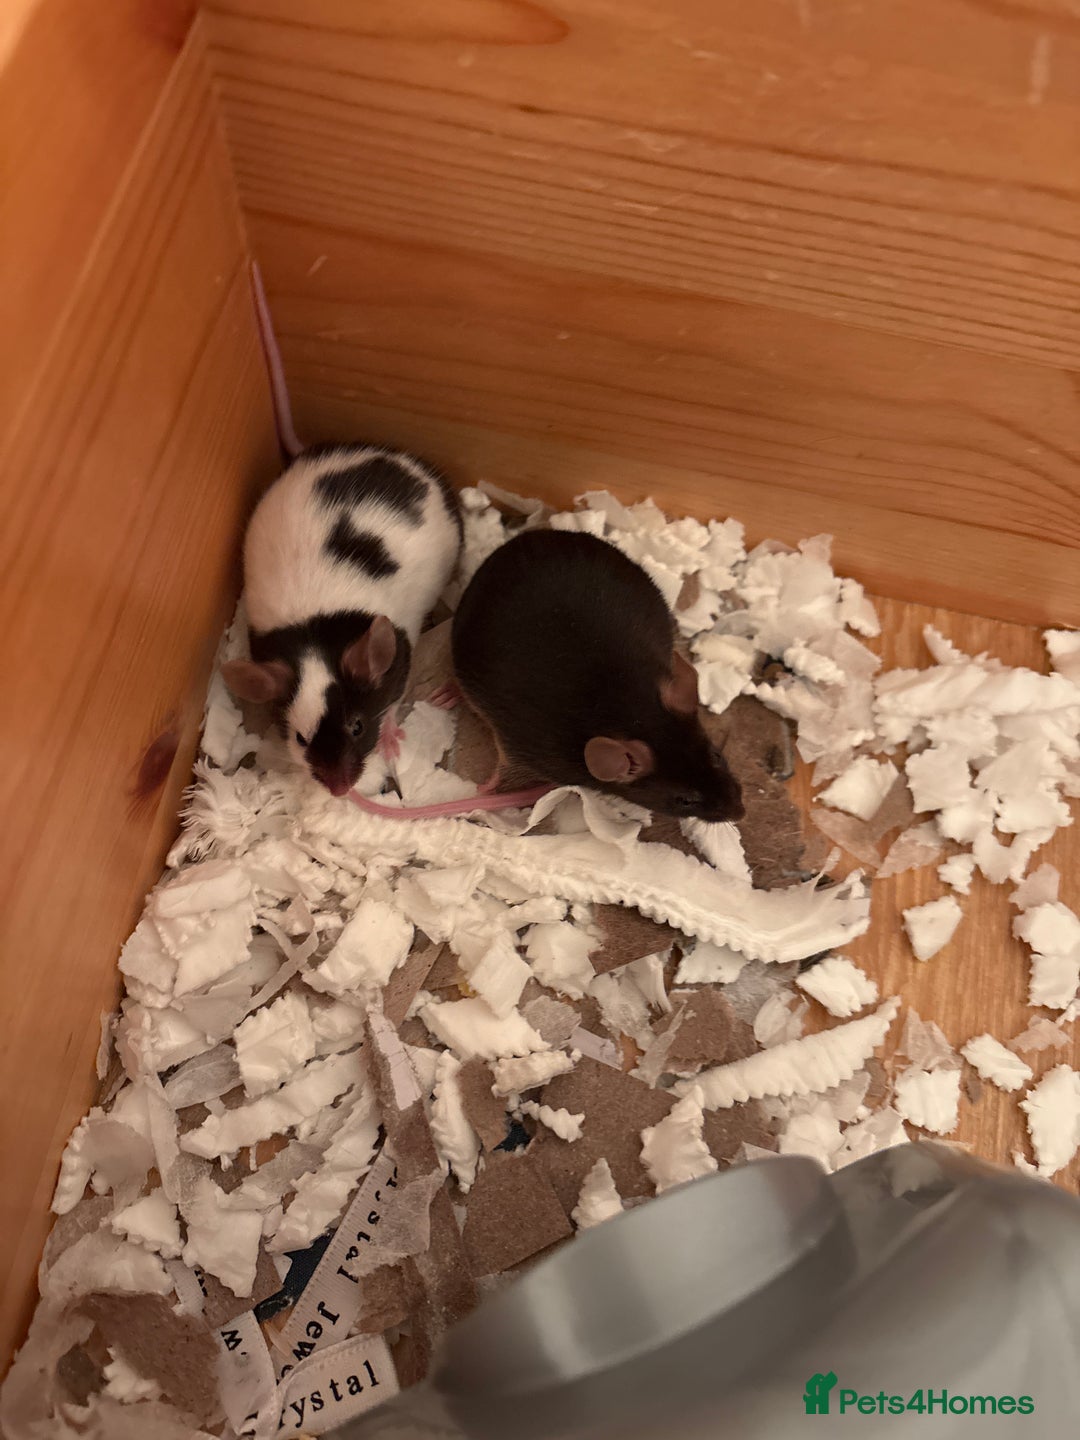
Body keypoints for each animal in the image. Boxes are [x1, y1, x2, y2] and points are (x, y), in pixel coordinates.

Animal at [223, 445, 462, 796]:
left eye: (357, 727)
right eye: (301, 738)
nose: (340, 790)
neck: (313, 634)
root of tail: (398, 458)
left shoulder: (400, 663)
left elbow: (393, 702)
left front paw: (390, 740)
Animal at [450, 528, 744, 822]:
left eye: (717, 756)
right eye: (685, 800)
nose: (740, 812)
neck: (626, 710)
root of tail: (526, 536)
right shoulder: (526, 752)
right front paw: (481, 791)